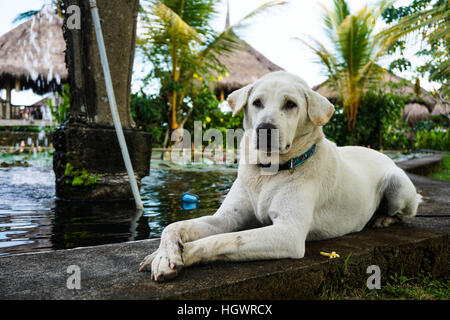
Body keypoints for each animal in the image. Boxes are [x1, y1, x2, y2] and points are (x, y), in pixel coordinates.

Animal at [139, 71, 420, 282]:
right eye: (256, 102)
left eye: (290, 104)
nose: (265, 130)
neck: (268, 172)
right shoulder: (227, 218)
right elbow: (175, 226)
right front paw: (163, 254)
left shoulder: (288, 233)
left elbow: (224, 240)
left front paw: (178, 255)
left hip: (398, 184)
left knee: (405, 213)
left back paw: (382, 218)